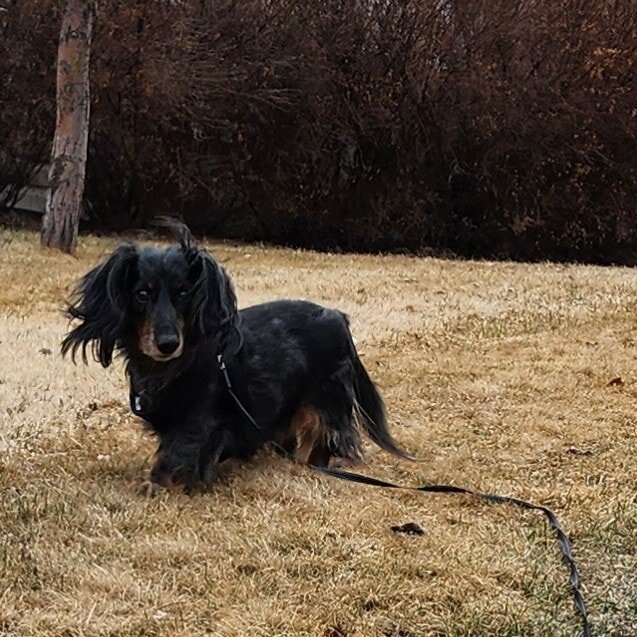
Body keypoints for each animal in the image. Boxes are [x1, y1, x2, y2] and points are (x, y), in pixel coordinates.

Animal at [62, 221, 404, 494]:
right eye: (142, 294)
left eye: (184, 293)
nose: (168, 343)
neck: (175, 367)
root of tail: (338, 317)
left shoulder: (202, 421)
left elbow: (176, 451)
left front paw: (157, 484)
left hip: (324, 400)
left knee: (320, 439)